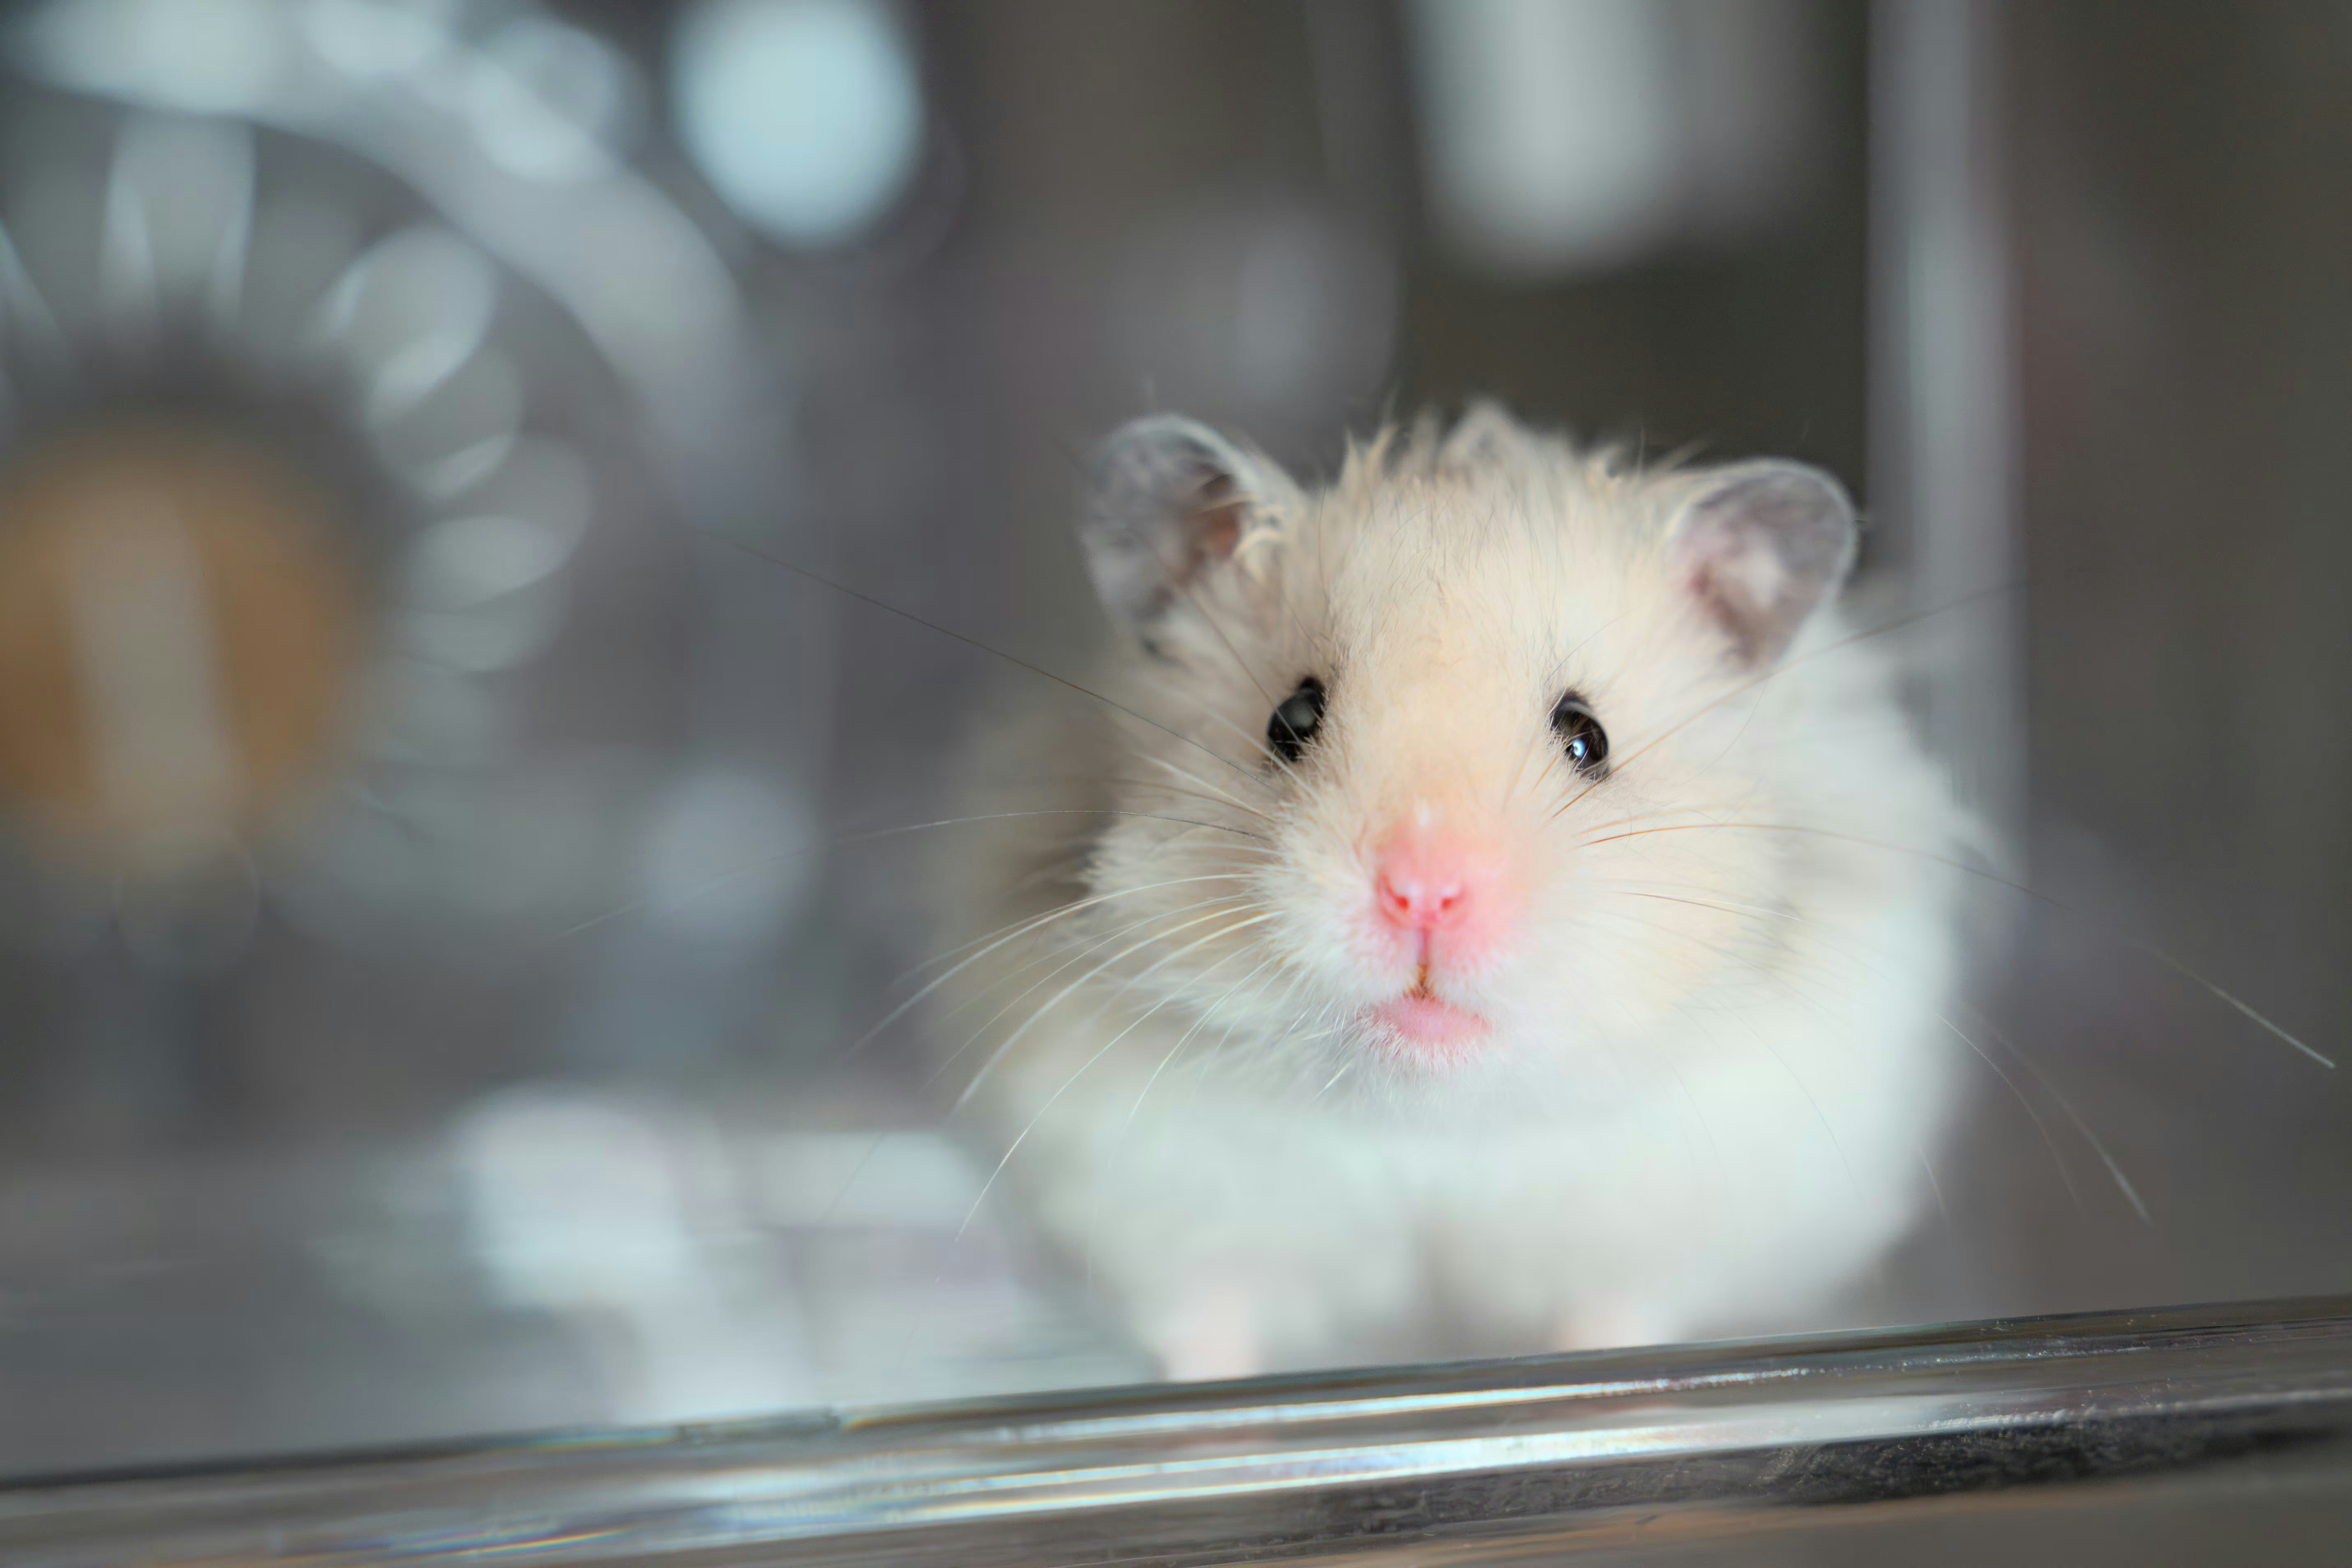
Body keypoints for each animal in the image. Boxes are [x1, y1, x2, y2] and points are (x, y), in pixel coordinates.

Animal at [926, 404, 1970, 1380]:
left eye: (1586, 736)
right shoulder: (1141, 1198)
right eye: (1289, 719)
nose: (1422, 895)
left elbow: (1615, 1312)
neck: (1429, 1121)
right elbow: (1205, 1326)